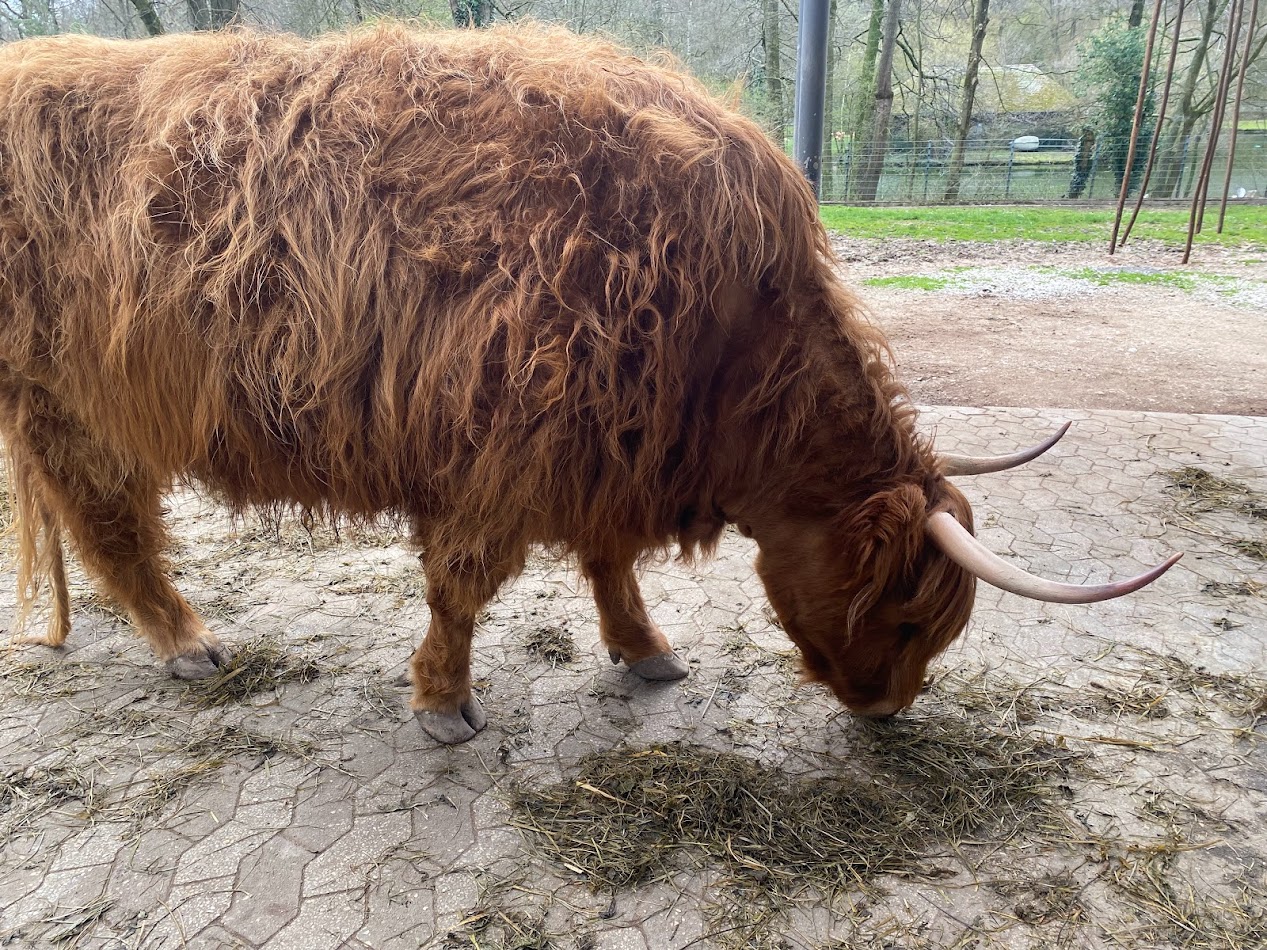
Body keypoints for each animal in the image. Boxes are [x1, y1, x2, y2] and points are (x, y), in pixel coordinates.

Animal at [0, 26, 1178, 743]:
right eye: (898, 612)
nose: (887, 709)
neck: (724, 344)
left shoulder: (609, 442)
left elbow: (609, 562)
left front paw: (644, 650)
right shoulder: (505, 451)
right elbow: (463, 587)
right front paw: (443, 702)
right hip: (65, 400)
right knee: (111, 522)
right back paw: (189, 642)